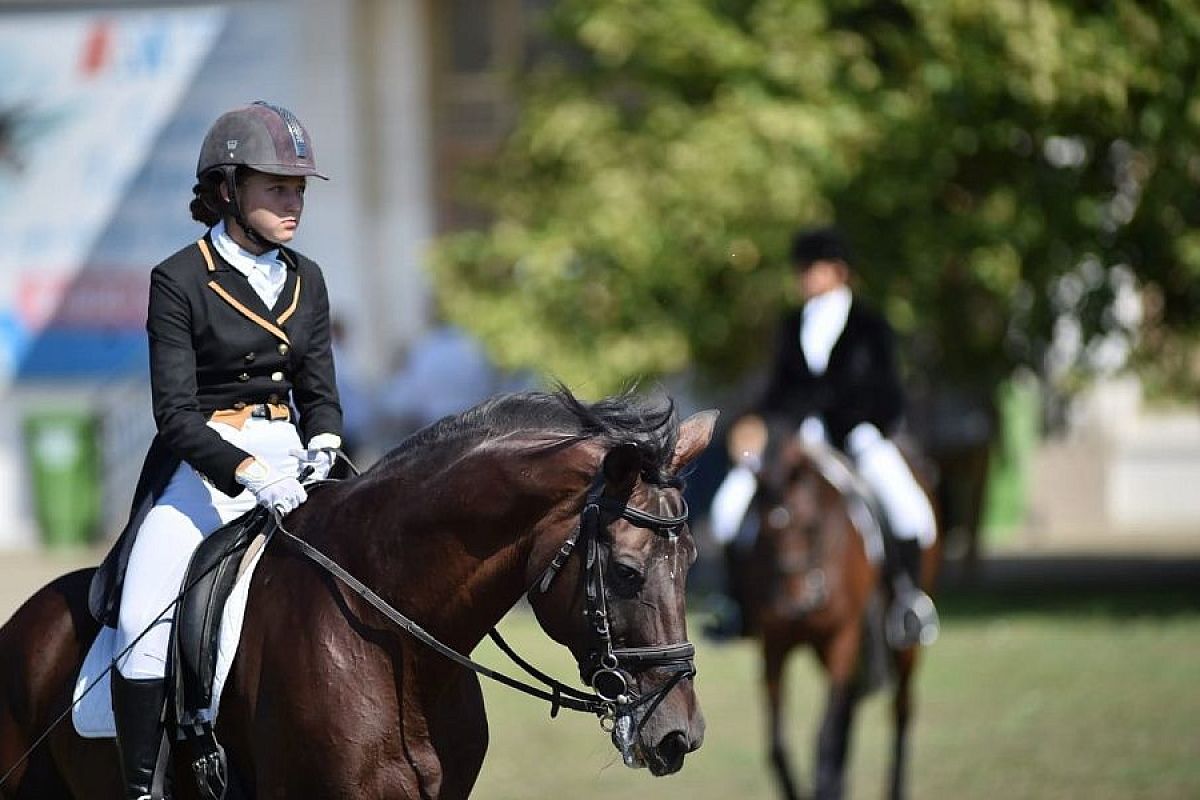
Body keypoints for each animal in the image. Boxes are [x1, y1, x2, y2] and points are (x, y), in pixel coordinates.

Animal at [739, 424, 936, 800]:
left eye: (811, 526)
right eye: (766, 531)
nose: (794, 605)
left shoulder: (842, 638)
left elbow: (825, 735)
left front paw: (824, 783)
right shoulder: (774, 646)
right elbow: (777, 745)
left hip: (901, 645)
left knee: (901, 710)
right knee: (850, 708)